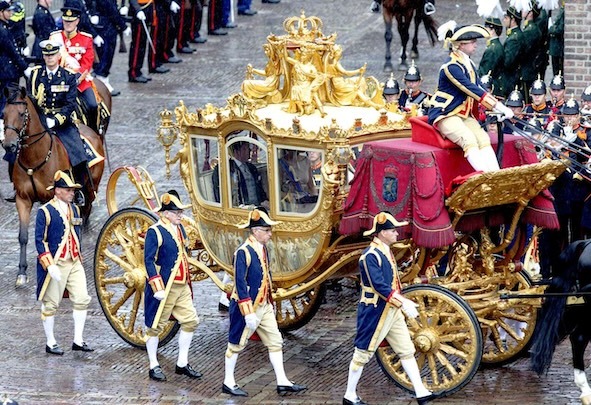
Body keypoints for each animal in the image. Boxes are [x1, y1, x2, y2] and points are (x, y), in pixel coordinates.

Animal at [1, 86, 105, 286]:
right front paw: (22, 273)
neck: (34, 158)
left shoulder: (52, 199)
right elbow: (23, 236)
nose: (9, 145)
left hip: (90, 189)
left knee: (83, 215)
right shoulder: (22, 200)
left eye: (21, 113)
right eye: (4, 114)